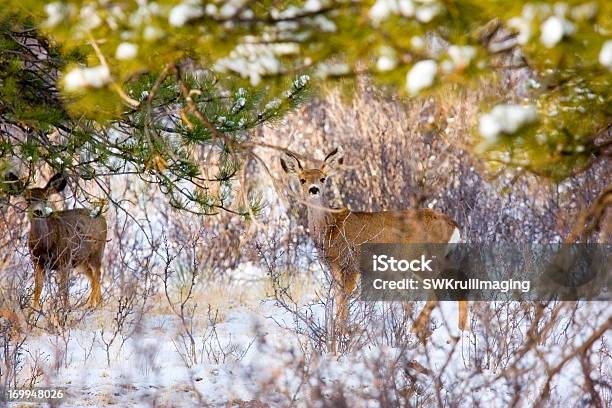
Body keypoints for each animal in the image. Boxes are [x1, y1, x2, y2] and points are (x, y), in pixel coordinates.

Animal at [5, 173, 108, 310]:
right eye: (28, 200)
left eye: (45, 199)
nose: (38, 211)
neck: (45, 245)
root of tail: (102, 217)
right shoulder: (37, 261)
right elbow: (38, 288)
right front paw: (33, 311)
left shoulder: (64, 261)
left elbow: (63, 289)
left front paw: (64, 312)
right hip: (81, 262)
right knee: (92, 277)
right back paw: (96, 304)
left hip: (96, 254)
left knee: (97, 276)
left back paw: (94, 306)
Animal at [282, 148, 468, 342]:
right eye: (302, 179)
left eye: (323, 178)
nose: (314, 189)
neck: (331, 228)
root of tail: (454, 225)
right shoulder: (334, 267)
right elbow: (339, 298)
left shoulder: (351, 264)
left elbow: (344, 299)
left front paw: (343, 334)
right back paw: (461, 330)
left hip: (420, 257)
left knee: (439, 289)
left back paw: (416, 329)